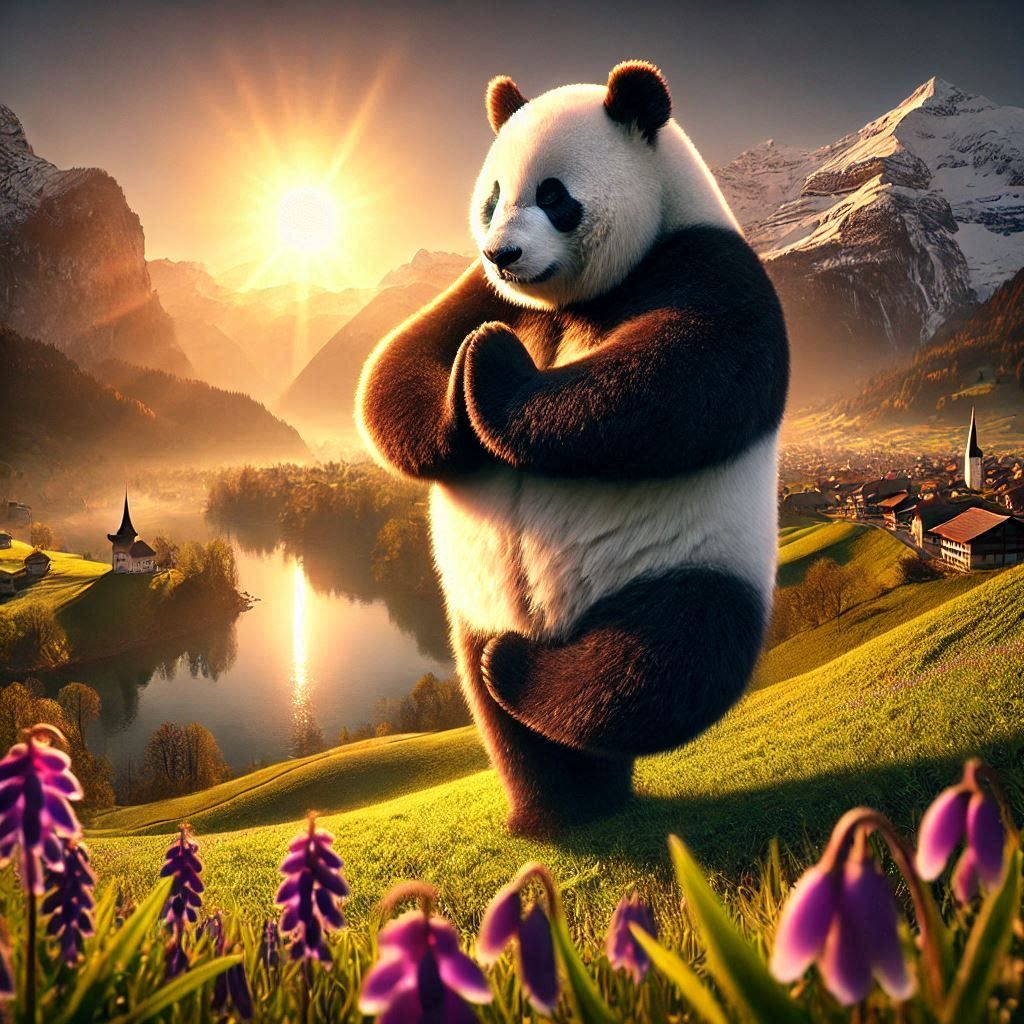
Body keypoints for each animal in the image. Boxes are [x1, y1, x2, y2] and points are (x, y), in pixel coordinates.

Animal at [357, 61, 788, 836]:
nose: (504, 253)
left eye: (553, 196)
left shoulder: (705, 262)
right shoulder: (483, 292)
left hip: (690, 563)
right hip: (473, 599)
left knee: (657, 664)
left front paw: (491, 366)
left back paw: (527, 680)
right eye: (492, 198)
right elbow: (399, 364)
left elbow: (681, 378)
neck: (565, 302)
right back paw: (552, 807)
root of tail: (552, 627)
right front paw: (460, 392)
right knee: (502, 711)